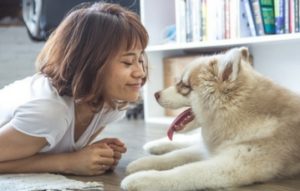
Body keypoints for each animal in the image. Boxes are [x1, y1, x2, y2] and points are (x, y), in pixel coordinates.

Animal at [120, 46, 300, 191]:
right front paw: (142, 163)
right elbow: (176, 156)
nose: (155, 94)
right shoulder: (213, 150)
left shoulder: (232, 165)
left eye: (184, 86)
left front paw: (142, 179)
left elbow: (186, 171)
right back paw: (155, 145)